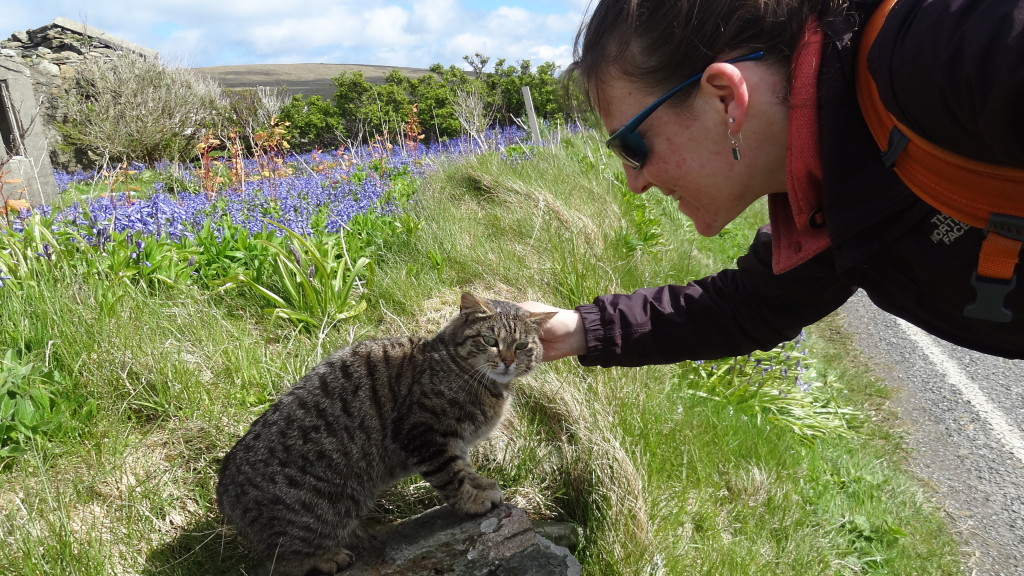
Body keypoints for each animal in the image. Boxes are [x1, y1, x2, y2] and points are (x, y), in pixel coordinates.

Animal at [215, 291, 552, 573]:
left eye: (521, 345)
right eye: (490, 340)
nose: (507, 361)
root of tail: (223, 492)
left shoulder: (455, 441)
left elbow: (464, 468)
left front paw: (479, 485)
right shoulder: (425, 434)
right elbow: (452, 476)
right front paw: (471, 500)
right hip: (324, 508)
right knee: (283, 560)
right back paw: (326, 557)